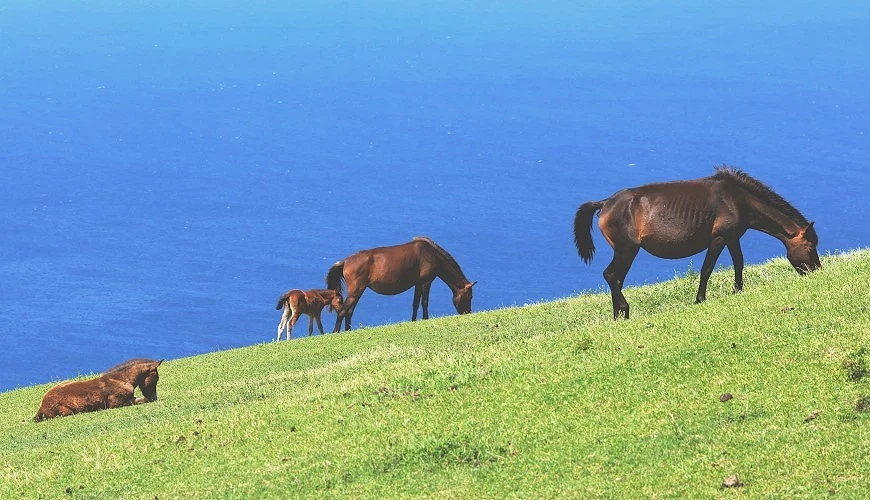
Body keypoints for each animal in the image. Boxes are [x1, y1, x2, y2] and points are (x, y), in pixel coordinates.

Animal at [34, 358, 163, 422]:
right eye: (156, 378)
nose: (154, 397)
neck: (121, 379)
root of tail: (42, 405)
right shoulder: (117, 404)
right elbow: (139, 400)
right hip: (67, 412)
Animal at [326, 236, 476, 332]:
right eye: (469, 297)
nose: (468, 313)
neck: (430, 254)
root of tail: (345, 261)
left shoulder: (418, 284)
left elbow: (415, 303)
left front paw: (413, 320)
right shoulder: (426, 282)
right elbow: (425, 302)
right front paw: (425, 319)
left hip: (358, 291)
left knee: (349, 312)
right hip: (356, 291)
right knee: (343, 311)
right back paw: (336, 331)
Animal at [573, 166, 820, 319]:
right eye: (810, 247)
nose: (817, 270)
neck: (738, 199)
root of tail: (605, 203)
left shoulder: (733, 237)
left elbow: (739, 263)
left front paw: (737, 290)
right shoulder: (719, 238)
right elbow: (707, 269)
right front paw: (700, 299)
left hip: (626, 251)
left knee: (616, 279)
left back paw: (618, 315)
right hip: (627, 249)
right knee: (611, 275)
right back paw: (624, 309)